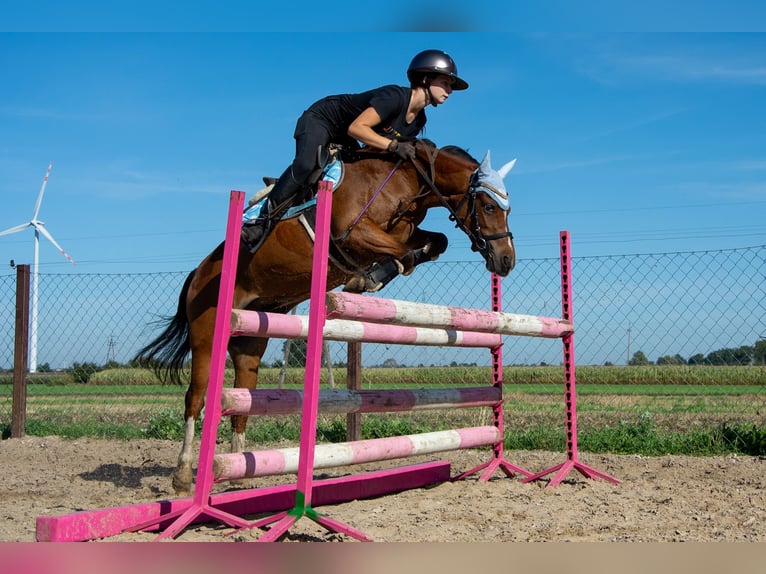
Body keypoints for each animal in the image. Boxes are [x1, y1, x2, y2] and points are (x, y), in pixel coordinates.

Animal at [134, 139, 517, 495]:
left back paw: (237, 473)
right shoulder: (355, 232)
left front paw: (371, 276)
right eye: (487, 206)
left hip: (251, 340)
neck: (405, 178)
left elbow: (433, 243)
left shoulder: (404, 230)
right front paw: (366, 277)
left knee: (241, 399)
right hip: (207, 334)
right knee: (196, 399)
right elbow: (403, 253)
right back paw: (183, 477)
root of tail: (199, 271)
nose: (505, 260)